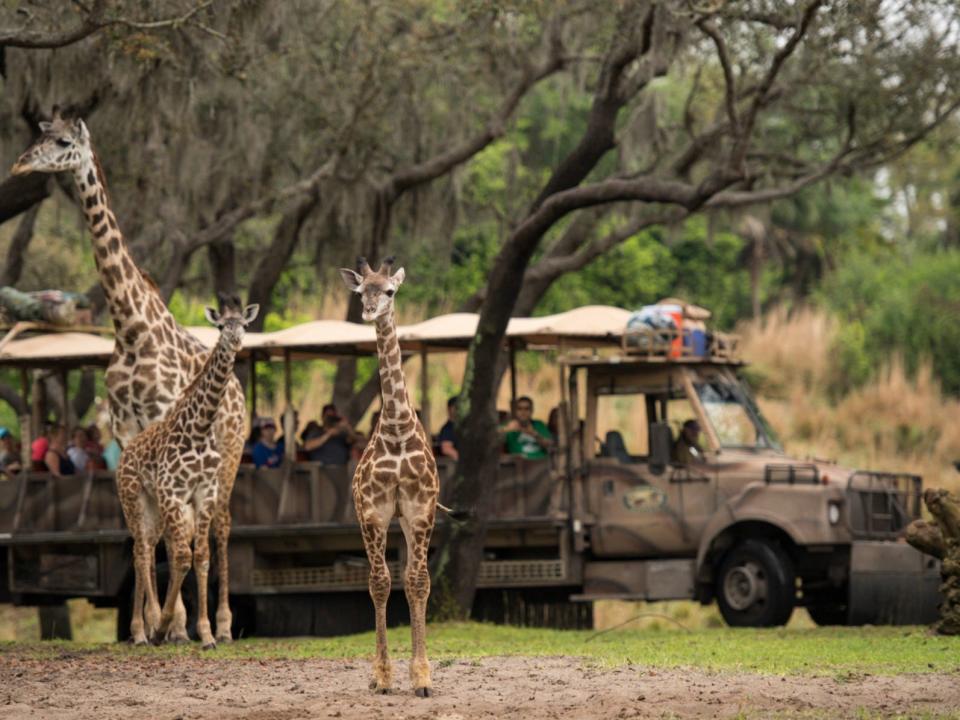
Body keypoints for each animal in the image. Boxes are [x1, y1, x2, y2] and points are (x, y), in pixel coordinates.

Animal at [116, 298, 258, 648]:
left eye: (244, 325)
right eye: (221, 326)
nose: (236, 342)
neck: (200, 427)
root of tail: (125, 452)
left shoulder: (204, 493)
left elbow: (201, 556)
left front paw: (207, 633)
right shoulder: (174, 493)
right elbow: (181, 555)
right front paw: (166, 625)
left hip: (153, 505)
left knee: (146, 548)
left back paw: (147, 628)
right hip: (133, 498)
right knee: (141, 551)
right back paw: (142, 631)